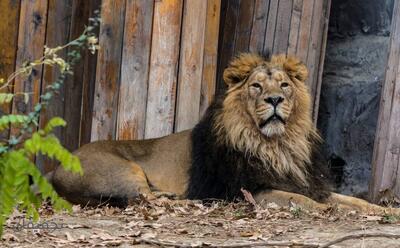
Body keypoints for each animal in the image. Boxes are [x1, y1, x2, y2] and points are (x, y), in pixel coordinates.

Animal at [50, 53, 400, 213]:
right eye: (256, 86)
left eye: (284, 85)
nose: (275, 99)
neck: (278, 144)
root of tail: (54, 168)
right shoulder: (250, 191)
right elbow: (299, 200)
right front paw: (325, 210)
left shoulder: (309, 182)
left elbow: (351, 200)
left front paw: (382, 210)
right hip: (125, 170)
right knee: (142, 198)